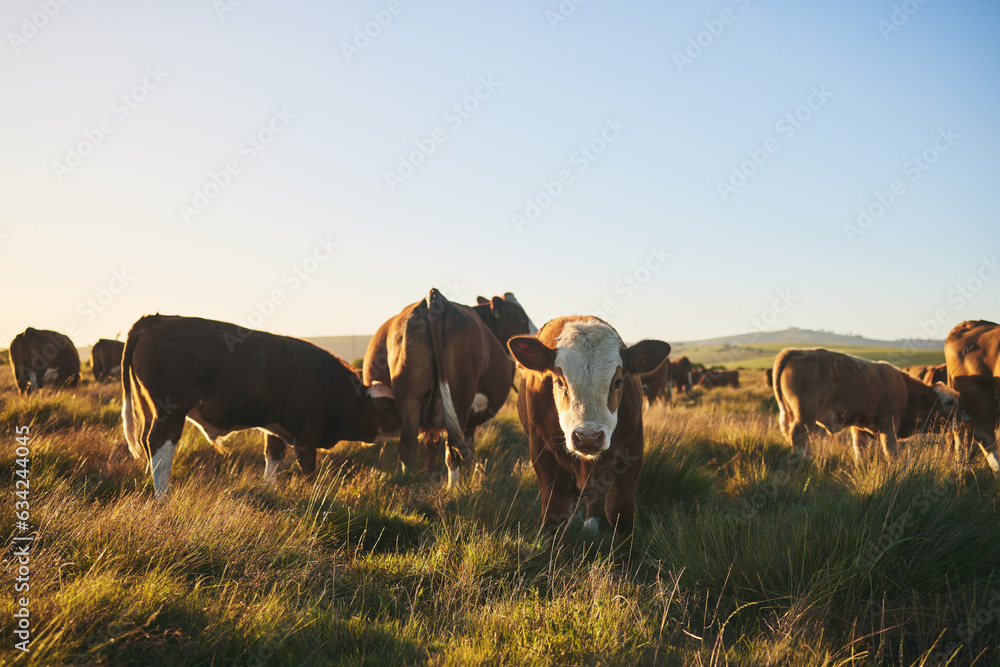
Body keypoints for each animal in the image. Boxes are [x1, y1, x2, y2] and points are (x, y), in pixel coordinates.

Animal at [119, 316, 396, 498]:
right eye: (388, 407)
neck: (332, 386)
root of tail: (156, 319)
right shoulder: (306, 434)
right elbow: (308, 468)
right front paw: (315, 495)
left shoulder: (276, 430)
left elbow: (272, 459)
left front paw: (268, 490)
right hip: (171, 413)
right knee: (160, 448)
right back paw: (163, 495)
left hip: (152, 409)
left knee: (147, 443)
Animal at [364, 290, 536, 488]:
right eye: (520, 318)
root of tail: (435, 297)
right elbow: (466, 444)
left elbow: (431, 444)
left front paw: (430, 477)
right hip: (459, 400)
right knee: (452, 448)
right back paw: (454, 489)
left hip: (408, 397)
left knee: (408, 445)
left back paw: (405, 481)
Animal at [508, 316, 672, 540]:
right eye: (560, 382)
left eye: (618, 382)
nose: (588, 437)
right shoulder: (542, 452)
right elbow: (554, 512)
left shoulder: (633, 448)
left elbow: (621, 513)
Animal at [768, 344, 956, 464]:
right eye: (949, 402)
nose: (962, 417)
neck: (905, 391)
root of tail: (793, 351)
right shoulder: (889, 424)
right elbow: (891, 450)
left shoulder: (859, 427)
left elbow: (860, 449)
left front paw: (861, 466)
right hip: (805, 415)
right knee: (798, 435)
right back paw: (802, 461)